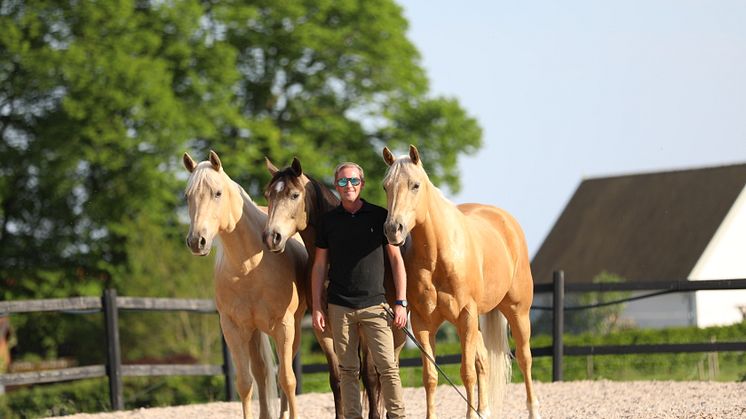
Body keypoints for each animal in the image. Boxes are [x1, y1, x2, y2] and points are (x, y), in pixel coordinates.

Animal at [182, 152, 306, 419]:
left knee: (285, 372)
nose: (197, 241)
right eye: (187, 196)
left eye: (217, 193)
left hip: (293, 326)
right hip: (253, 332)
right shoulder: (233, 329)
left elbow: (288, 379)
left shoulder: (284, 325)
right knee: (260, 373)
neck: (249, 266)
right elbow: (245, 383)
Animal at [380, 145, 536, 419]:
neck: (438, 254)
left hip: (517, 312)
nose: (392, 229)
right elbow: (430, 377)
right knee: (483, 360)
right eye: (386, 186)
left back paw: (533, 410)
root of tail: (505, 220)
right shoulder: (422, 324)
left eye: (415, 185)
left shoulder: (466, 316)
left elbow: (467, 373)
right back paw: (484, 411)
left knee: (524, 359)